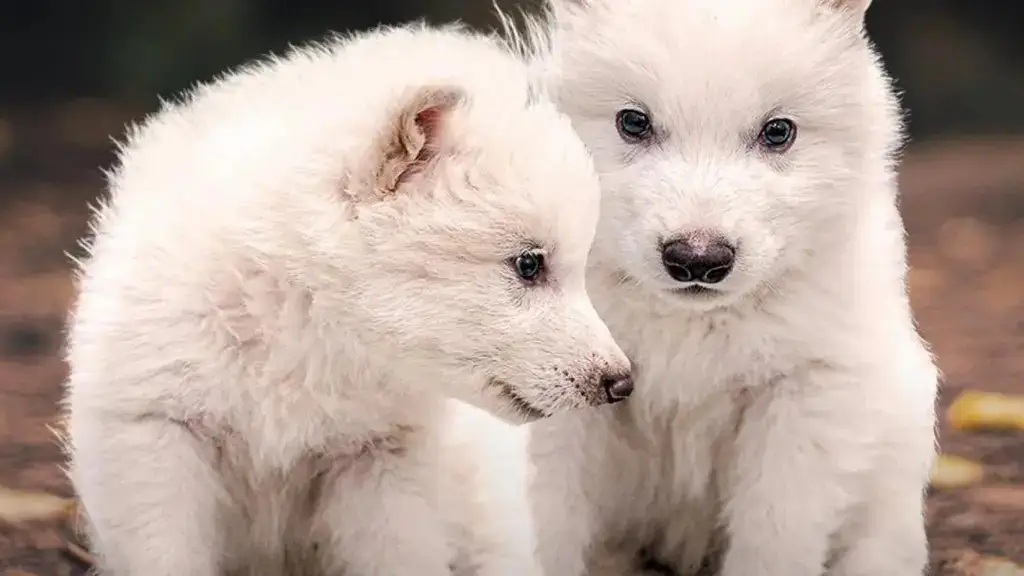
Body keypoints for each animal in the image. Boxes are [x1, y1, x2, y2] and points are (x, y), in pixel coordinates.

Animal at [62, 23, 632, 576]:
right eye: (529, 264)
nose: (621, 382)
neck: (304, 322)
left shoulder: (381, 463)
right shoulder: (155, 437)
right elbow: (166, 552)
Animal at [513, 0, 940, 574]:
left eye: (778, 132)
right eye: (633, 122)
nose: (697, 260)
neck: (690, 325)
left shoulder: (807, 394)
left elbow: (774, 531)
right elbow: (549, 519)